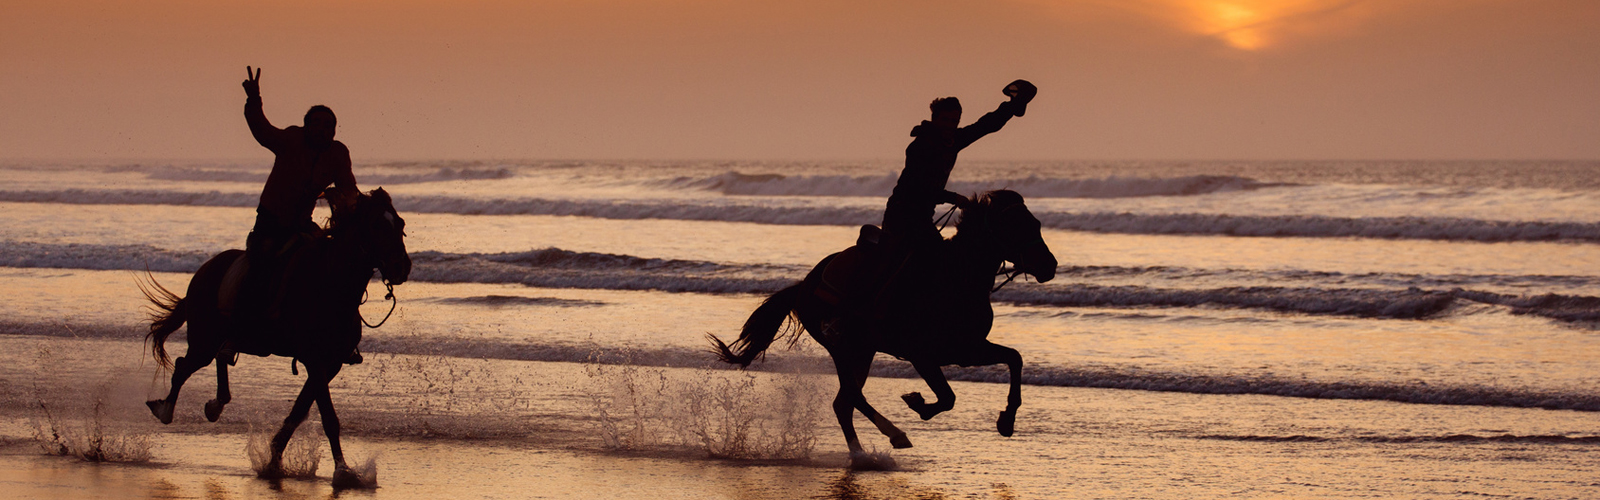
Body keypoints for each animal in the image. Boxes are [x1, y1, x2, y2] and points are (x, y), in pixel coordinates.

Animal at [139, 187, 412, 483]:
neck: (330, 285)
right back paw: (166, 410)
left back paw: (215, 404)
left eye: (400, 225)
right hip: (204, 339)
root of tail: (205, 269)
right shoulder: (314, 359)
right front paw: (342, 470)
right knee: (183, 366)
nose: (401, 267)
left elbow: (299, 410)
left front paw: (274, 458)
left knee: (220, 356)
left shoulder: (332, 363)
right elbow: (329, 417)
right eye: (376, 226)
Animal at [710, 189, 1056, 461]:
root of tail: (805, 284)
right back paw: (888, 440)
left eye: (1036, 224)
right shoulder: (923, 354)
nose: (1050, 266)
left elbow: (1014, 358)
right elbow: (948, 398)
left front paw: (1007, 421)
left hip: (863, 350)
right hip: (842, 347)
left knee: (844, 402)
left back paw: (866, 451)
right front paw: (919, 404)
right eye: (1014, 225)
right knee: (850, 397)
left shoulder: (966, 349)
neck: (955, 280)